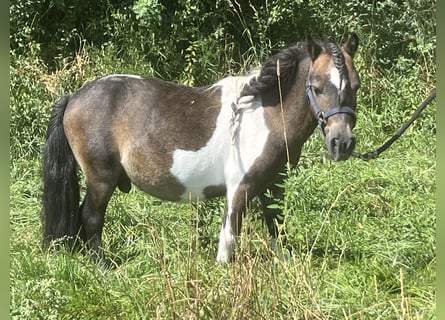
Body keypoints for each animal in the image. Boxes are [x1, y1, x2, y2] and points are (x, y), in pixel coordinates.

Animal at [42, 33, 360, 262]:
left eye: (355, 86)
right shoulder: (240, 189)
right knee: (91, 217)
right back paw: (101, 265)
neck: (263, 114)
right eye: (316, 87)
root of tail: (74, 97)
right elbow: (229, 237)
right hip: (101, 179)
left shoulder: (274, 185)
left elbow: (276, 225)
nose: (341, 143)